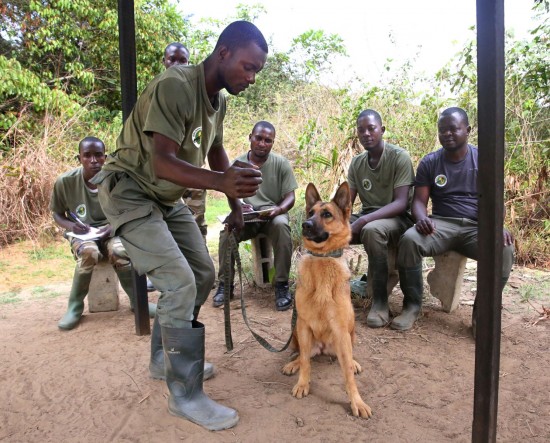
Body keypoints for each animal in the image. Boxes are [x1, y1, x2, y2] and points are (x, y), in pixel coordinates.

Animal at [282, 182, 374, 418]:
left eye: (327, 214)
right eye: (310, 213)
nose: (305, 225)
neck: (323, 259)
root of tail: (323, 348)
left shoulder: (341, 330)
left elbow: (347, 374)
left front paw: (356, 402)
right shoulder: (303, 324)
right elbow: (306, 362)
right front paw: (302, 383)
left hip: (350, 333)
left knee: (347, 357)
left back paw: (354, 362)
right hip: (296, 331)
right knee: (305, 354)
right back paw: (293, 363)